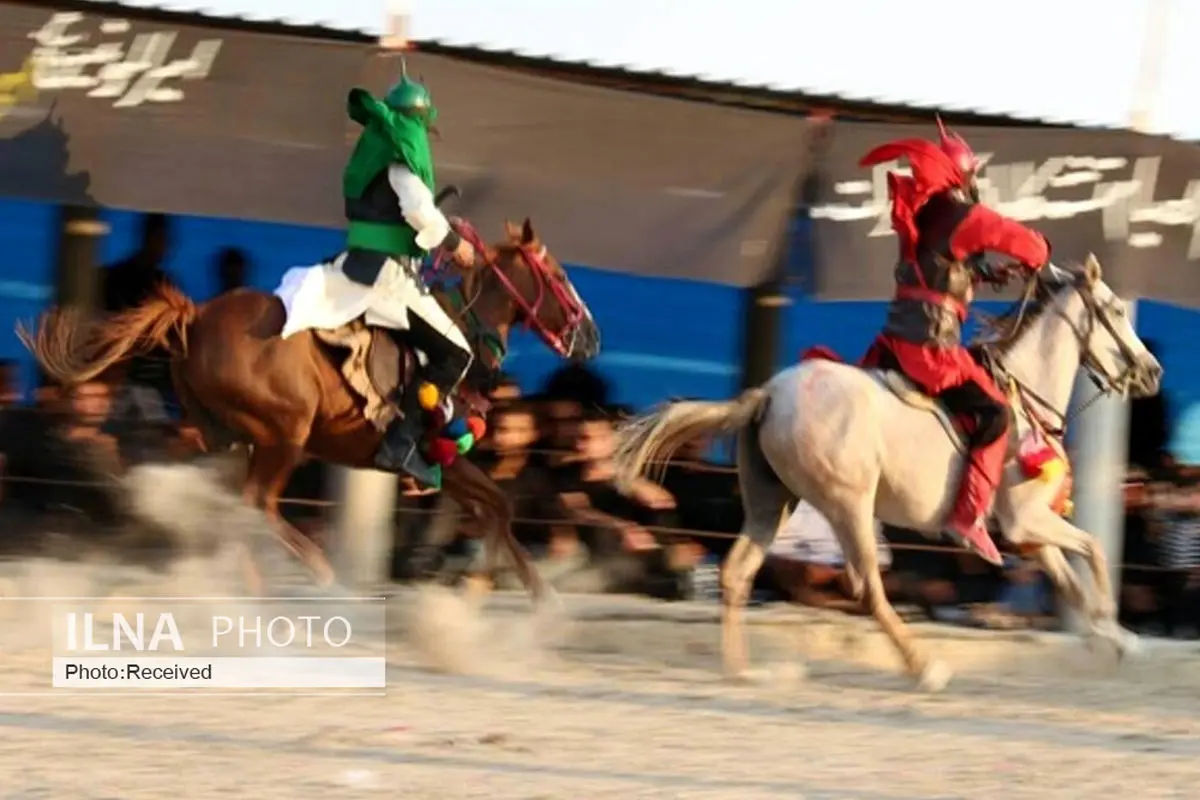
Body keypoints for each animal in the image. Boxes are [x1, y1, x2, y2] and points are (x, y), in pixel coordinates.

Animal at [25, 219, 609, 599]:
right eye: (558, 276)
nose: (591, 338)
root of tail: (195, 317)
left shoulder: (441, 462)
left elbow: (497, 507)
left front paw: (513, 589)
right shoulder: (435, 449)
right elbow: (497, 506)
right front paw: (517, 593)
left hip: (227, 439)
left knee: (223, 504)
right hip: (283, 434)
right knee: (257, 504)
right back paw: (314, 571)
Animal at [614, 255, 1156, 690]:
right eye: (1114, 311)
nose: (1152, 372)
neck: (1024, 392)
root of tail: (767, 395)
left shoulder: (1029, 532)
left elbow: (1072, 579)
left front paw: (1110, 636)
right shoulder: (1026, 521)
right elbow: (1095, 548)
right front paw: (1114, 630)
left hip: (773, 501)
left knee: (737, 574)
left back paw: (744, 671)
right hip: (848, 504)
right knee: (868, 590)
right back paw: (925, 667)